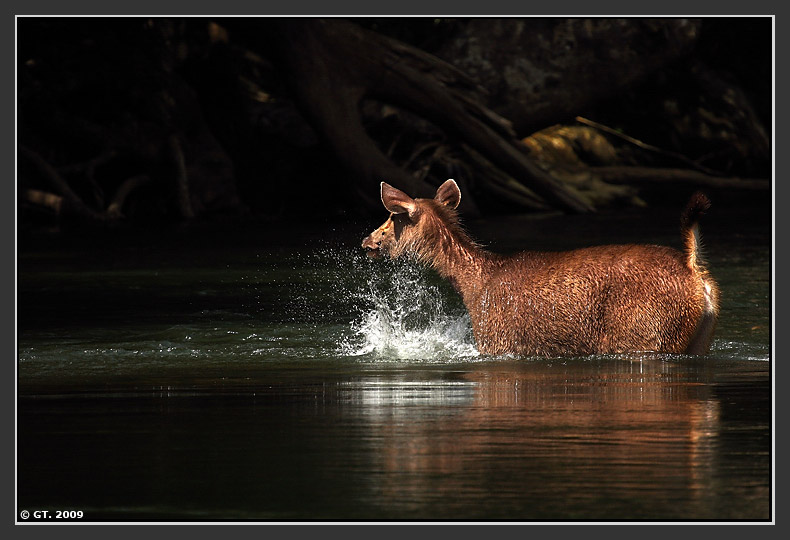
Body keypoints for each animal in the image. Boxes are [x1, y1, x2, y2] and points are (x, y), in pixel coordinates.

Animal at [362, 181, 720, 356]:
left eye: (392, 218)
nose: (367, 241)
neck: (472, 285)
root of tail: (693, 272)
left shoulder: (497, 342)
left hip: (646, 334)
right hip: (698, 342)